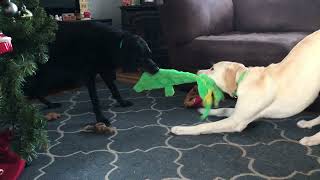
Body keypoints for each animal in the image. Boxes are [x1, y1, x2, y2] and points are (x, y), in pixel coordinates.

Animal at [23, 21, 159, 126]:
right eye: (140, 58)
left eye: (150, 54)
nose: (157, 69)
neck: (112, 44)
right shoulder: (89, 76)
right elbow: (95, 99)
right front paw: (101, 119)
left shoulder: (105, 71)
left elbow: (115, 90)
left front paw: (122, 103)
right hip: (45, 72)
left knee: (34, 91)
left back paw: (50, 104)